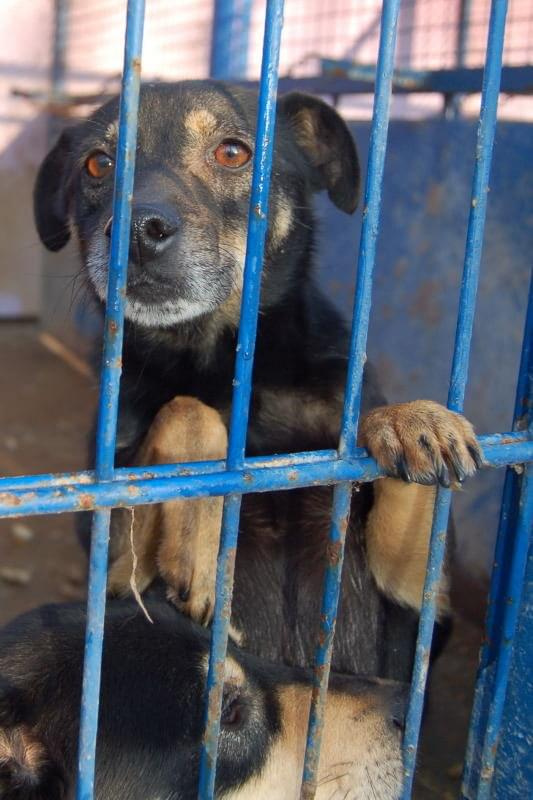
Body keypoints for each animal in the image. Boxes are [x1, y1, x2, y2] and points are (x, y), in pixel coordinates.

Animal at [34, 79, 482, 680]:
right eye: (98, 164)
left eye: (232, 152)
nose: (136, 232)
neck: (223, 358)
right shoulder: (112, 570)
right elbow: (189, 411)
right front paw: (198, 553)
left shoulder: (416, 602)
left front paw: (414, 419)